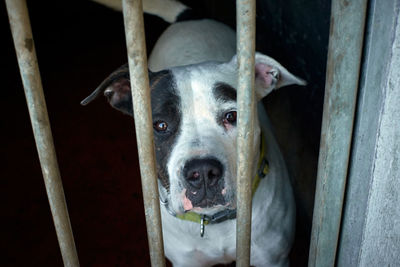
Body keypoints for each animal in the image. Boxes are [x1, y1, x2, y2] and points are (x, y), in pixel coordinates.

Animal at [82, 1, 306, 266]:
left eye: (232, 116)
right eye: (160, 125)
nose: (202, 172)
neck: (212, 222)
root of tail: (189, 18)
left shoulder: (273, 258)